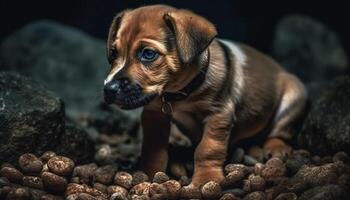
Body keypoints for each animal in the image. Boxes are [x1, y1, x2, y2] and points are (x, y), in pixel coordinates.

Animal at [104, 4, 306, 187]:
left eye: (148, 54)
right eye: (113, 53)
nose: (109, 89)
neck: (180, 95)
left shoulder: (219, 115)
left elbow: (207, 149)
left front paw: (206, 180)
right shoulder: (154, 115)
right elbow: (153, 148)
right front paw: (147, 173)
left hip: (294, 98)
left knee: (279, 132)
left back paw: (276, 148)